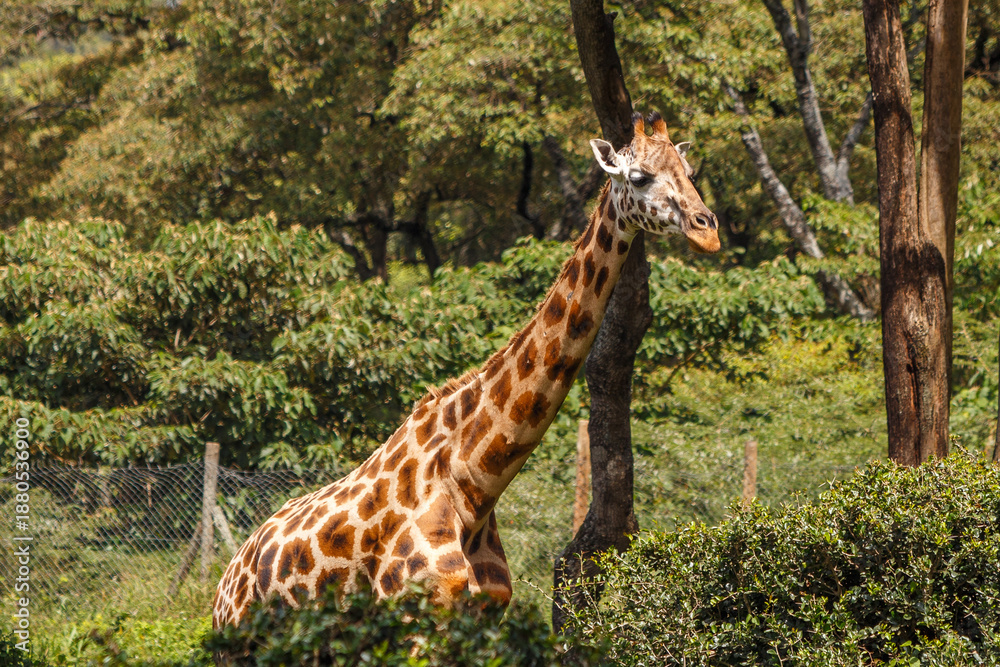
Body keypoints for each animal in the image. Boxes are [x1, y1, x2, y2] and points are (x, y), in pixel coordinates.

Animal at [212, 111, 720, 629]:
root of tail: (227, 577)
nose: (708, 230)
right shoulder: (410, 613)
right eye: (638, 177)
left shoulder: (482, 616)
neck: (473, 486)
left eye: (688, 171)